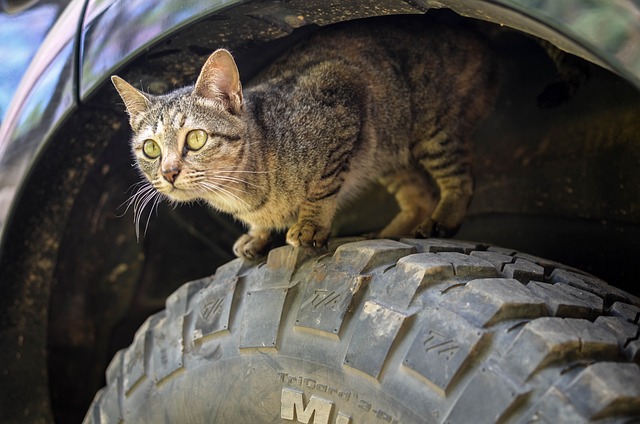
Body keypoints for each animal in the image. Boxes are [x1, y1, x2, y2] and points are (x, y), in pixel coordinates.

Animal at [111, 15, 500, 258]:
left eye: (195, 139)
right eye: (150, 148)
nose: (168, 172)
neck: (240, 195)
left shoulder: (338, 95)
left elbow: (322, 187)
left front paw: (310, 225)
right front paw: (257, 235)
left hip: (431, 129)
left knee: (460, 180)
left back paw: (441, 219)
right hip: (388, 152)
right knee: (419, 196)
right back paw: (383, 235)